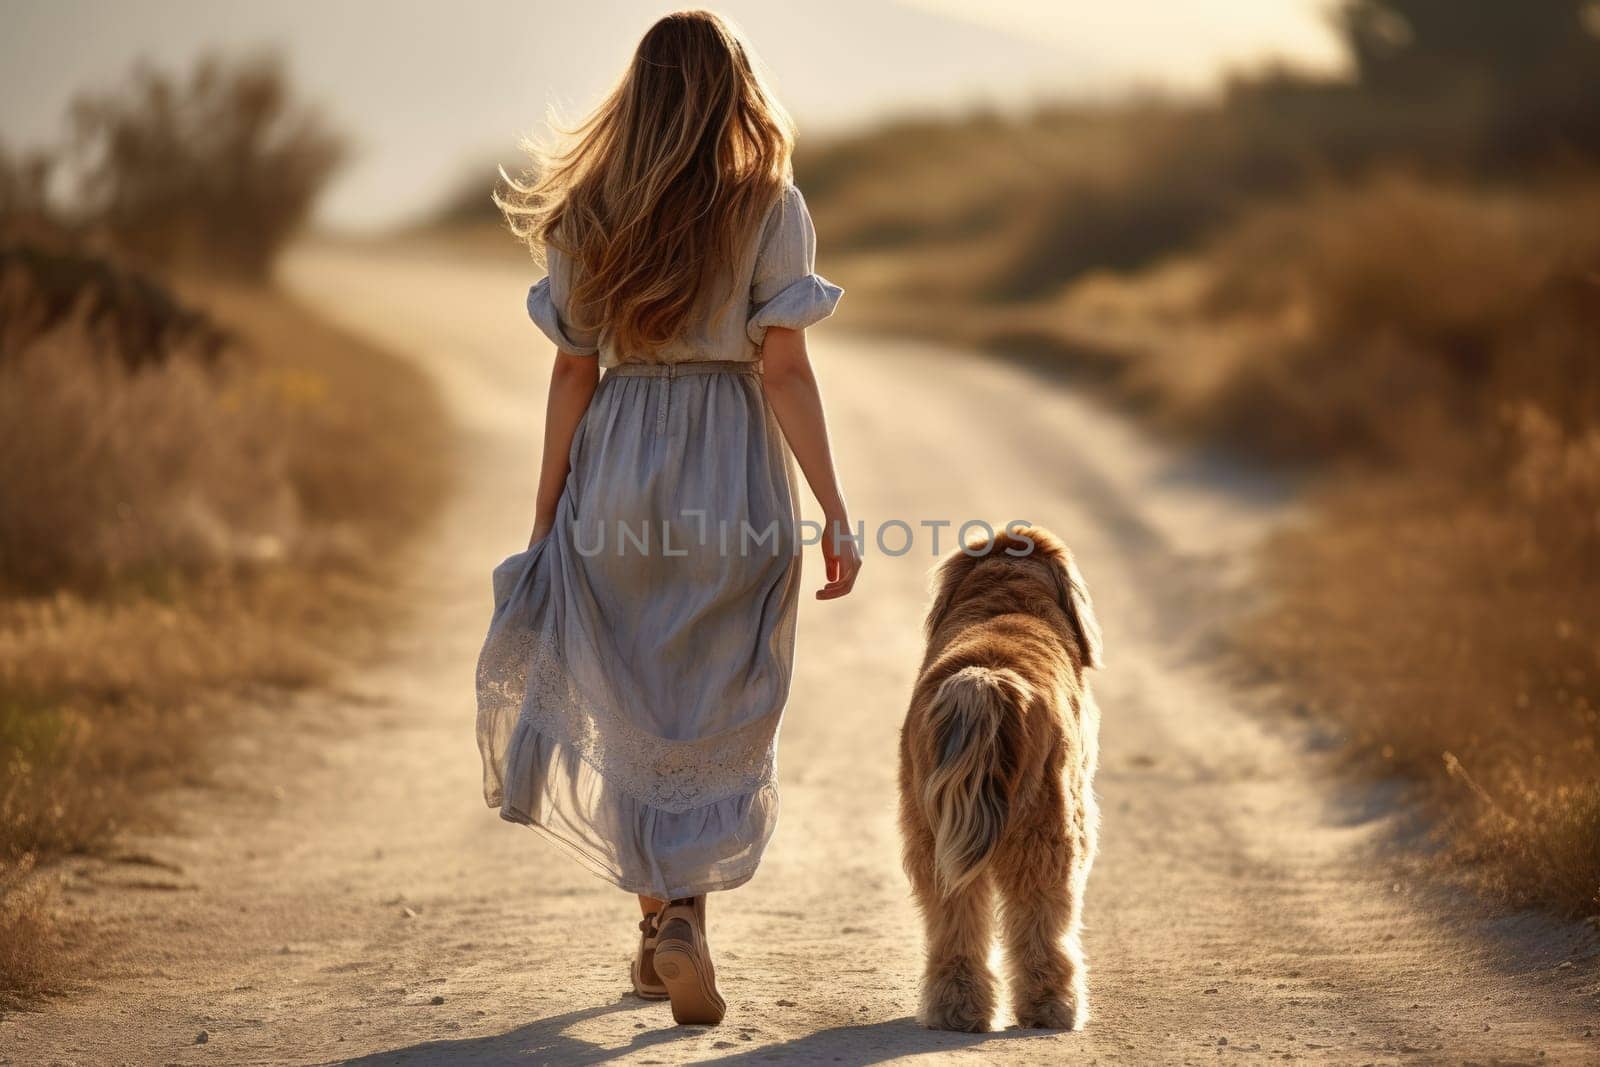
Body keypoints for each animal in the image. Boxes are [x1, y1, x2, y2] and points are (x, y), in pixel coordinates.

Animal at [896, 527, 1107, 1036]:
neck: (1006, 601)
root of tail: (985, 680)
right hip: (1047, 835)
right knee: (1042, 922)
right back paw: (1053, 1007)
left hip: (932, 839)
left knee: (954, 921)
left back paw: (957, 1008)